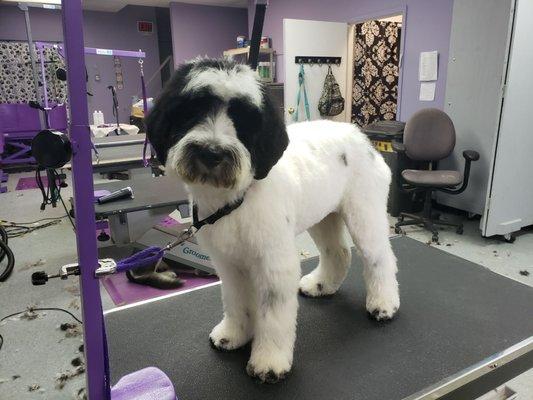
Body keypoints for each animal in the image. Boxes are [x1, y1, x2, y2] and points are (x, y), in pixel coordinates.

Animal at [147, 57, 400, 382]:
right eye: (192, 110)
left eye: (243, 120)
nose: (212, 152)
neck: (235, 199)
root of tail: (361, 137)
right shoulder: (229, 264)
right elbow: (237, 302)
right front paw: (234, 335)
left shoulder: (274, 265)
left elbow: (274, 316)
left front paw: (269, 361)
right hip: (323, 215)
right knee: (339, 253)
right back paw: (322, 285)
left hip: (364, 213)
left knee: (380, 258)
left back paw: (384, 304)